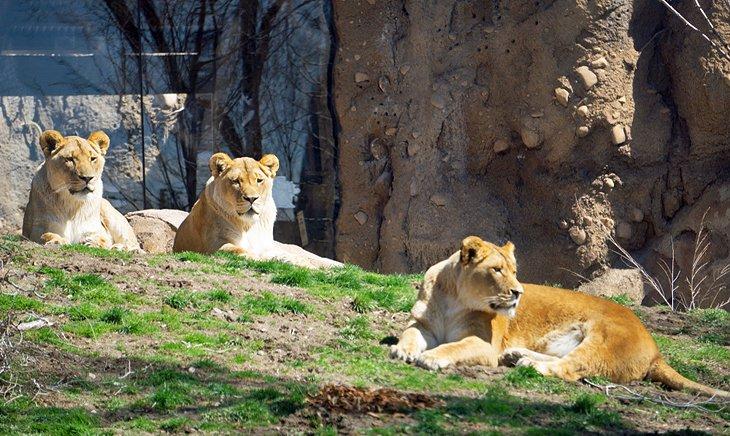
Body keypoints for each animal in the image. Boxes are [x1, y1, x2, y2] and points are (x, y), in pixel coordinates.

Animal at [173, 152, 341, 268]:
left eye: (259, 180)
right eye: (236, 181)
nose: (252, 198)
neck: (249, 225)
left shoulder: (267, 246)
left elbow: (292, 257)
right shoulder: (213, 246)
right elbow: (242, 251)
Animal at [391, 236, 729, 397]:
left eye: (515, 271)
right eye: (497, 270)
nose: (518, 292)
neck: (454, 298)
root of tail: (656, 349)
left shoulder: (485, 345)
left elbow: (454, 346)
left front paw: (432, 357)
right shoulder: (423, 324)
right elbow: (410, 333)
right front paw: (401, 350)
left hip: (602, 337)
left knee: (570, 368)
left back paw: (526, 364)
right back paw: (516, 355)